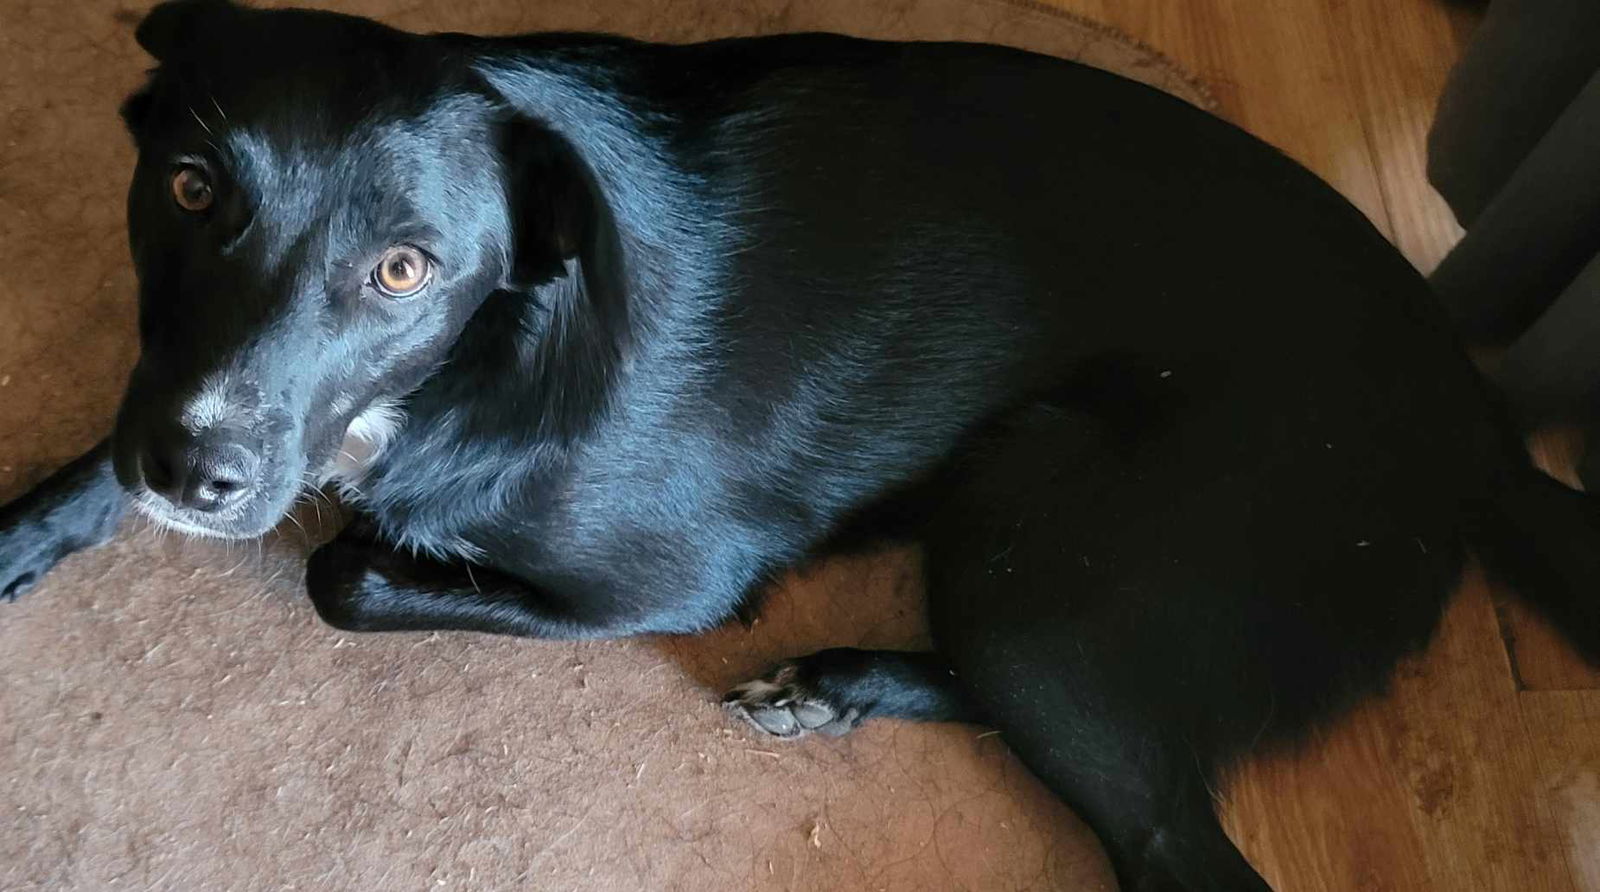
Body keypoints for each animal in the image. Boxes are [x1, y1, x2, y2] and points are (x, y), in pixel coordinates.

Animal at [3, 3, 1600, 888]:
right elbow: (125, 443)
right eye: (189, 186)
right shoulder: (179, 394)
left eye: (404, 270)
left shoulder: (667, 584)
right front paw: (35, 520)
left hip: (1049, 529)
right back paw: (832, 688)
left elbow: (340, 571)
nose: (194, 475)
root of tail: (1474, 423)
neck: (487, 354)